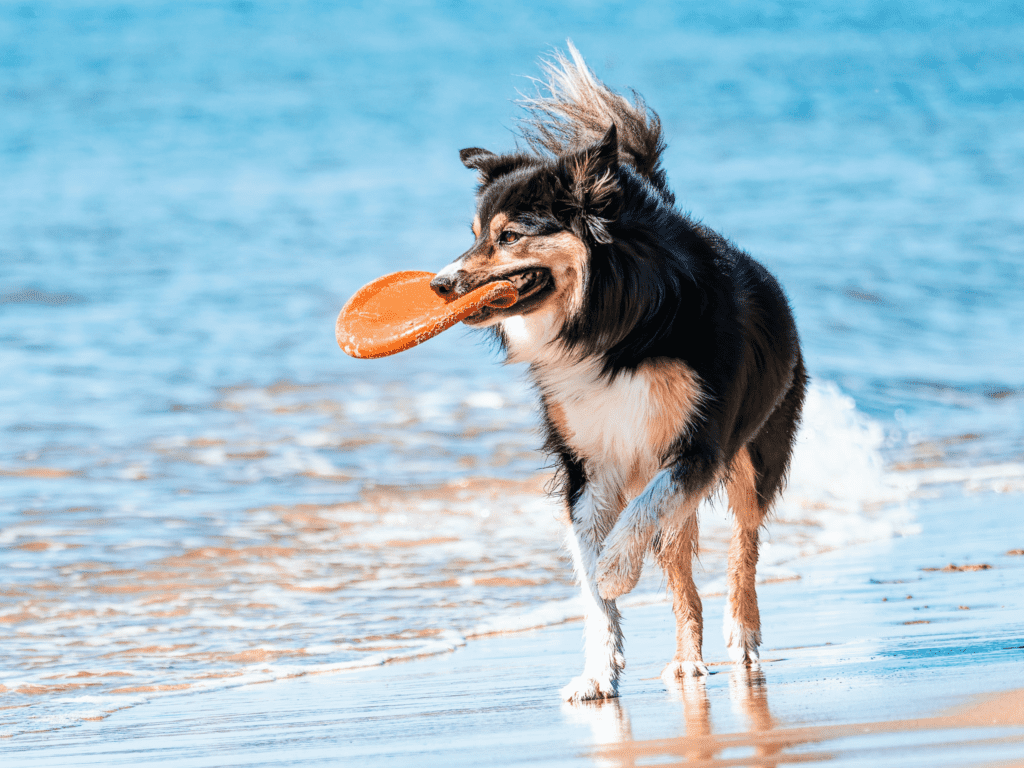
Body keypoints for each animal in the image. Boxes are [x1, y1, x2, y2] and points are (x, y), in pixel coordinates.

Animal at [428, 43, 802, 704]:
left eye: (509, 236)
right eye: (474, 236)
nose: (439, 285)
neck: (614, 323)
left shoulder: (698, 443)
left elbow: (641, 516)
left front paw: (616, 569)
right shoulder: (588, 462)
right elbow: (590, 574)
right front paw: (599, 669)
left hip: (755, 455)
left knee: (744, 547)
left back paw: (743, 636)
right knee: (681, 569)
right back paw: (686, 660)